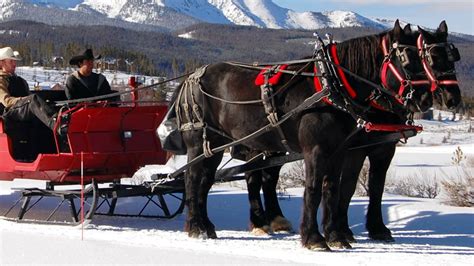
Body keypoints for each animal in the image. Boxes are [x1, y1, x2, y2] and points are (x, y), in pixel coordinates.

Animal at [173, 20, 434, 249]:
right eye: (406, 60)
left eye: (425, 59)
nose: (425, 99)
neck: (331, 85)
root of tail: (190, 77)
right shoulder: (316, 150)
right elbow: (313, 189)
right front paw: (314, 238)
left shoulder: (340, 150)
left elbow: (332, 188)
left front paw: (336, 236)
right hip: (199, 141)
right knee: (193, 179)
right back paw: (196, 226)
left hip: (216, 143)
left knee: (206, 181)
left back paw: (207, 226)